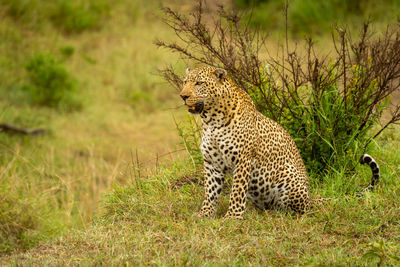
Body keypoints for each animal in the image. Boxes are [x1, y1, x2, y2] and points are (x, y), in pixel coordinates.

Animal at [180, 65, 380, 220]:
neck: (211, 119)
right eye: (185, 82)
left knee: (298, 210)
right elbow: (210, 191)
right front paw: (205, 213)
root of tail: (310, 197)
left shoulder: (243, 160)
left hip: (289, 178)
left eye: (199, 83)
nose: (183, 96)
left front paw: (232, 217)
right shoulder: (212, 163)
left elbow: (237, 191)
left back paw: (277, 214)